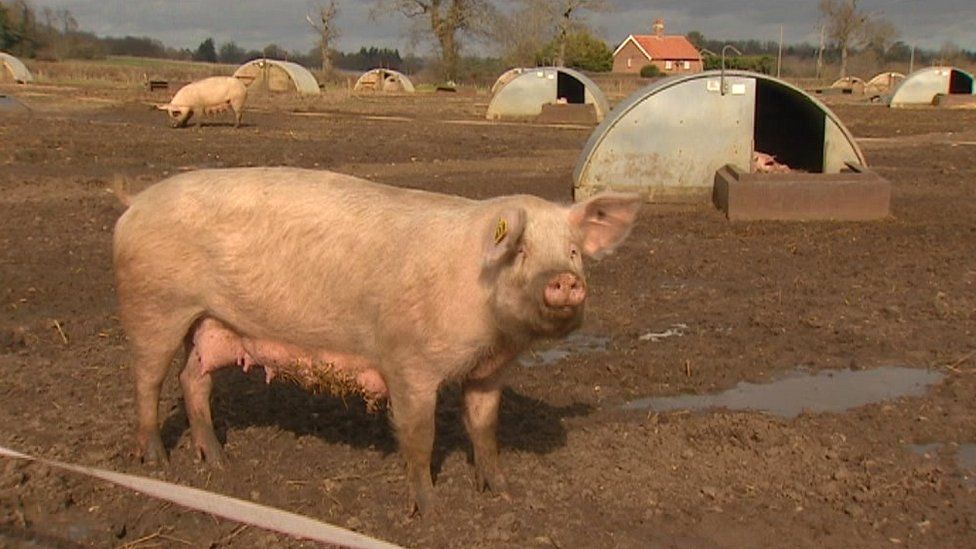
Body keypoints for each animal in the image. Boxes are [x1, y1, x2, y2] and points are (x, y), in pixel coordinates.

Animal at [112, 168, 640, 512]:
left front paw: (502, 492)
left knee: (192, 378)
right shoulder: (408, 362)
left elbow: (485, 428)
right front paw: (431, 511)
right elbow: (420, 437)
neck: (492, 331)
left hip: (212, 323)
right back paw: (157, 463)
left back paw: (219, 463)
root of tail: (135, 202)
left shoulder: (489, 371)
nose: (565, 280)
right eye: (521, 252)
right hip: (153, 307)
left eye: (573, 252)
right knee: (146, 380)